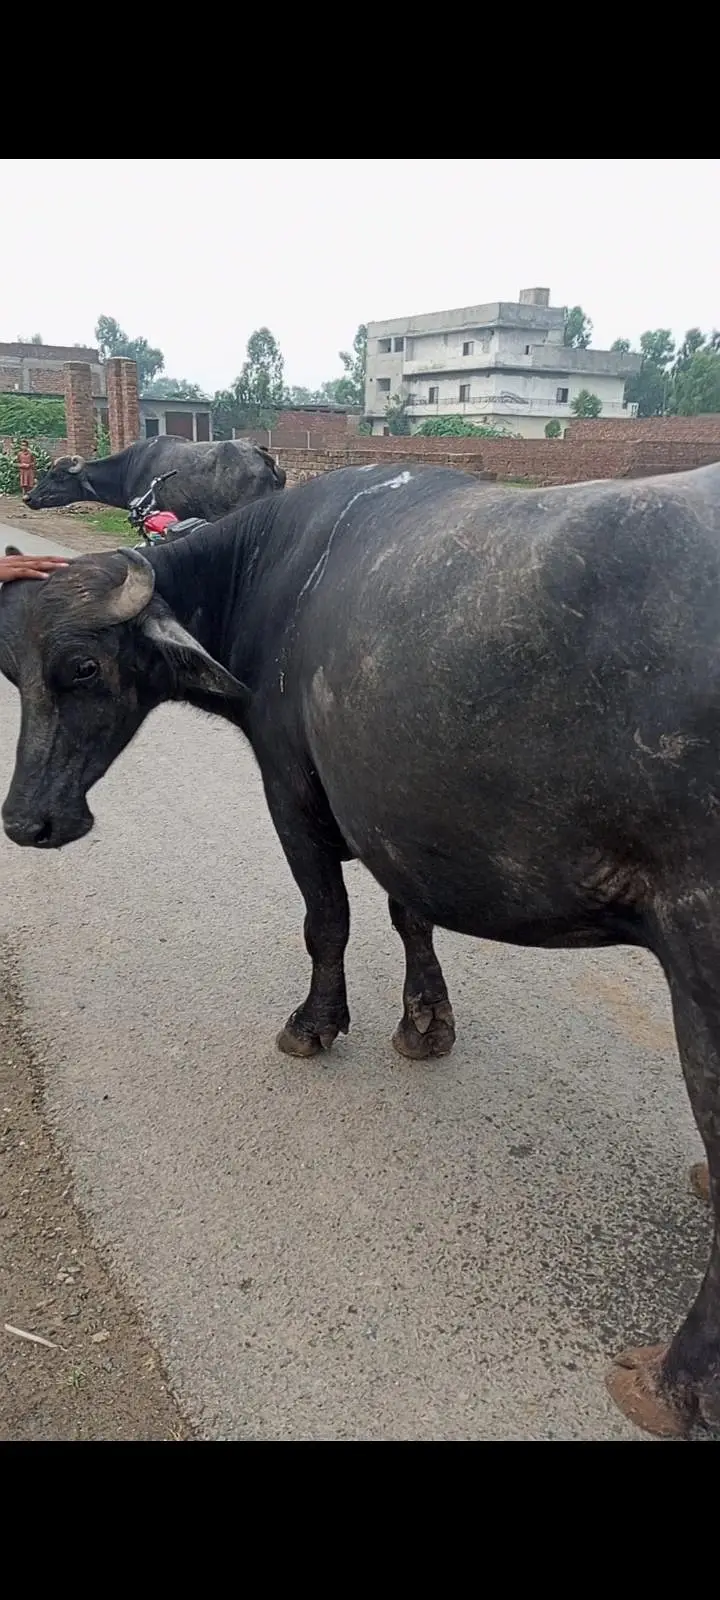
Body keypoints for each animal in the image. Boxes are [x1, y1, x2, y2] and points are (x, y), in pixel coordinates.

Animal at [2, 459, 720, 1439]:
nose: (27, 822)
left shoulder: (294, 793)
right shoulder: (392, 813)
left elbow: (327, 920)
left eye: (81, 667)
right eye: (12, 673)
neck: (275, 572)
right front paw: (424, 1025)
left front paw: (315, 1023)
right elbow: (407, 917)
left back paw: (662, 1386)